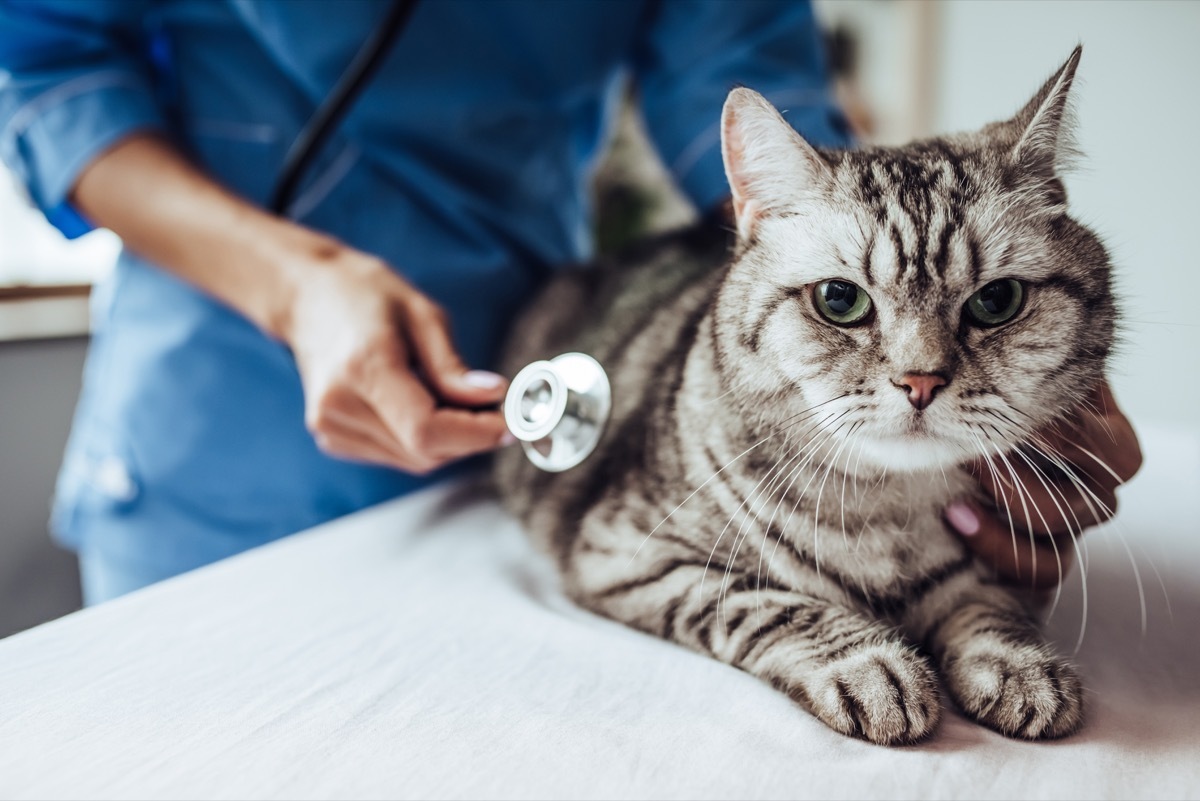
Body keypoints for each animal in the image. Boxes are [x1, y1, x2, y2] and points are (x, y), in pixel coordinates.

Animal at [492, 50, 1108, 743]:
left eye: (997, 301)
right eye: (840, 300)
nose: (921, 380)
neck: (885, 512)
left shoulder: (994, 569)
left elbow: (988, 607)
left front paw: (1019, 666)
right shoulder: (629, 555)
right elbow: (773, 604)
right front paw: (874, 667)